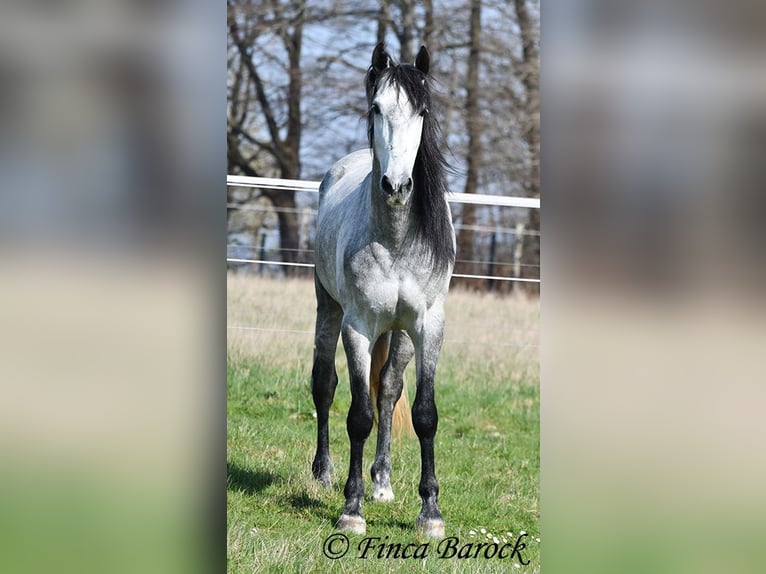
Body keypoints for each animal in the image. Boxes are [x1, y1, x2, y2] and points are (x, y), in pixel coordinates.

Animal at [311, 42, 455, 539]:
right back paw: (324, 474)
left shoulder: (429, 326)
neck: (395, 238)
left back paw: (383, 482)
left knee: (389, 391)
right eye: (377, 107)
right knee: (324, 385)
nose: (396, 185)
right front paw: (351, 509)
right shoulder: (357, 326)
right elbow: (358, 415)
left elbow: (424, 414)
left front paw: (430, 513)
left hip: (401, 335)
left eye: (423, 112)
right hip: (328, 309)